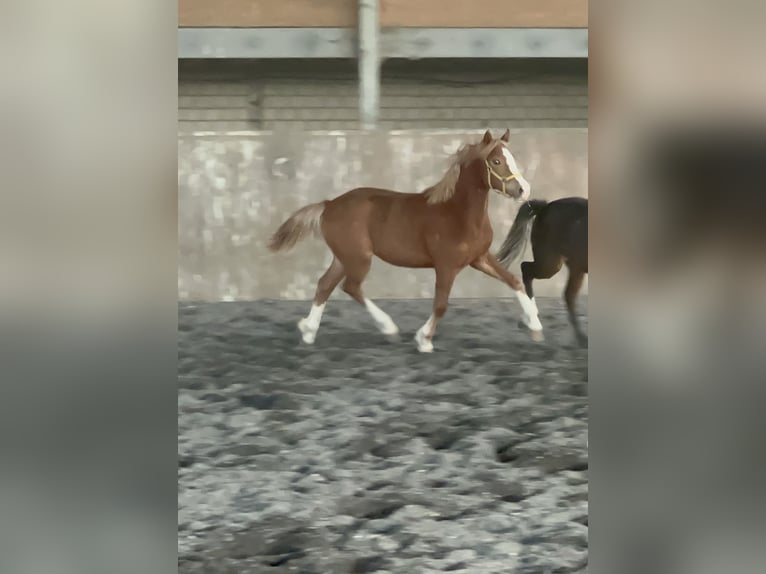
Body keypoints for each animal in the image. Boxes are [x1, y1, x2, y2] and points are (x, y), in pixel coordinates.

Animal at [270, 130, 544, 354]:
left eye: (512, 158)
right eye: (496, 161)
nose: (524, 190)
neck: (457, 213)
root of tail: (328, 205)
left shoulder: (480, 258)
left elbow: (513, 281)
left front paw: (535, 325)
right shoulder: (446, 266)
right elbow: (441, 304)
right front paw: (424, 340)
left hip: (343, 257)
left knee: (325, 285)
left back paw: (308, 331)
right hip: (358, 258)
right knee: (350, 287)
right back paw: (388, 328)